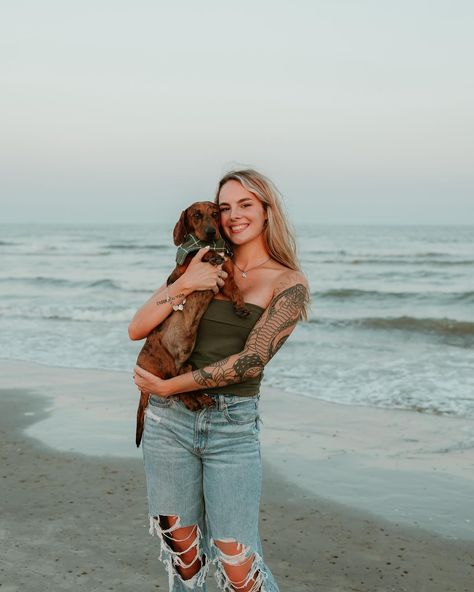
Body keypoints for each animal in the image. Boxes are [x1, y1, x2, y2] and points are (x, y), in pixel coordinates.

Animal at [134, 201, 248, 446]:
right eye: (196, 215)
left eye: (215, 214)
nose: (211, 232)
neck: (211, 245)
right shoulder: (183, 270)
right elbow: (195, 255)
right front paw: (208, 256)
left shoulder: (225, 278)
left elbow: (235, 288)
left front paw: (241, 306)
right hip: (165, 363)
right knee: (172, 389)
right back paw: (193, 402)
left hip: (187, 366)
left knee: (182, 386)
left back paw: (201, 399)